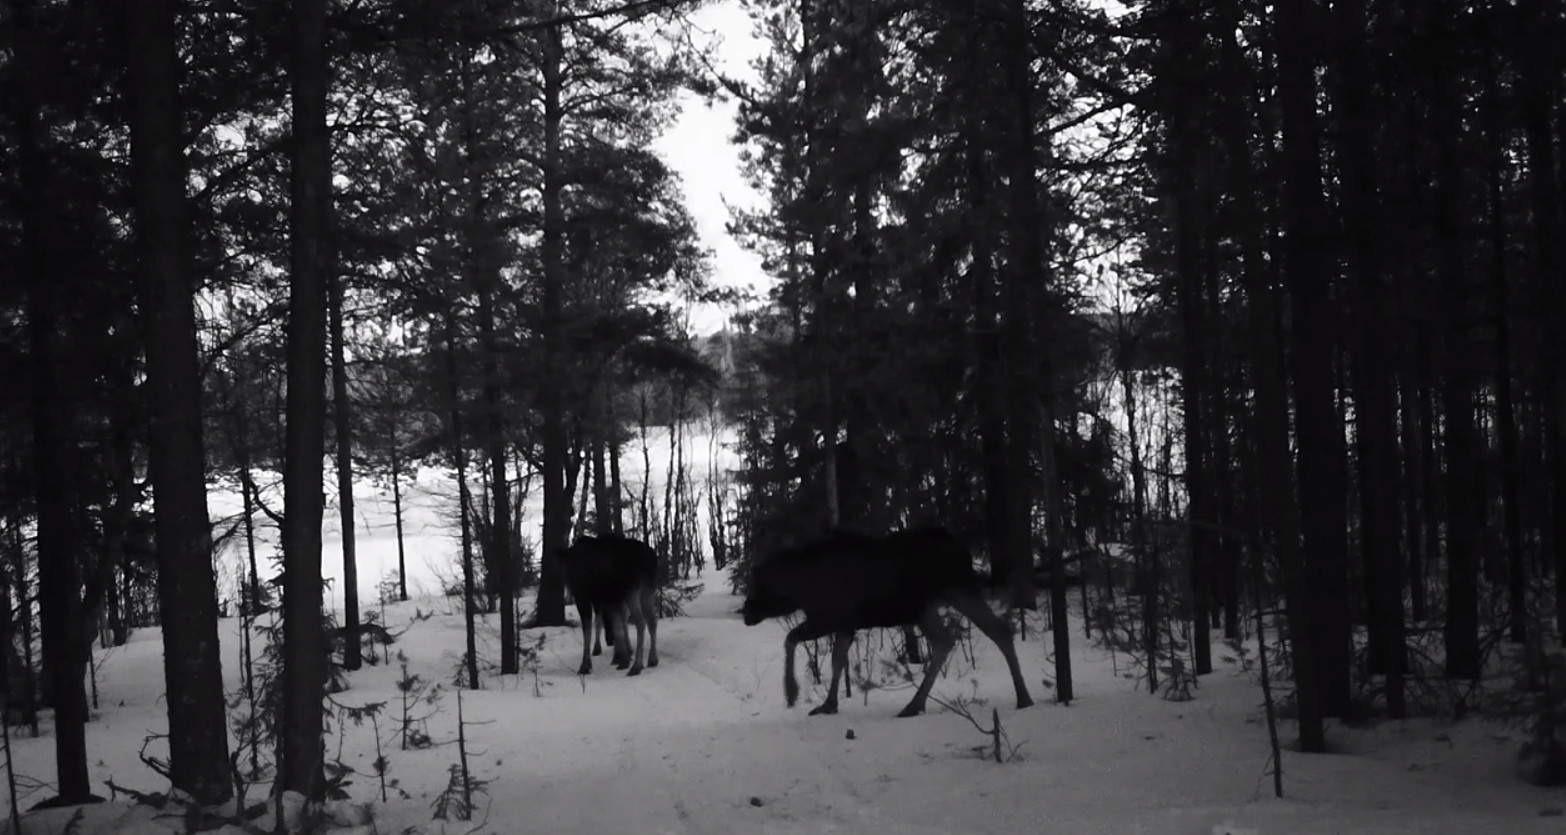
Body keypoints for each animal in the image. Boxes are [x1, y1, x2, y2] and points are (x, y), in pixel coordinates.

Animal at [560, 532, 657, 676]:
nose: (567, 597)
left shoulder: (585, 597)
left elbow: (589, 631)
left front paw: (586, 665)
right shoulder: (610, 599)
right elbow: (617, 627)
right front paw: (621, 658)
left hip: (630, 591)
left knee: (640, 621)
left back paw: (637, 666)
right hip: (646, 591)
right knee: (652, 620)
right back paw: (652, 659)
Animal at [745, 526, 1039, 717]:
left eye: (758, 583)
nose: (746, 614)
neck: (800, 589)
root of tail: (964, 552)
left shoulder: (829, 619)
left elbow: (791, 639)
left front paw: (791, 692)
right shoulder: (845, 625)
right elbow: (837, 660)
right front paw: (828, 705)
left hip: (951, 593)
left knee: (965, 636)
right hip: (935, 603)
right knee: (979, 634)